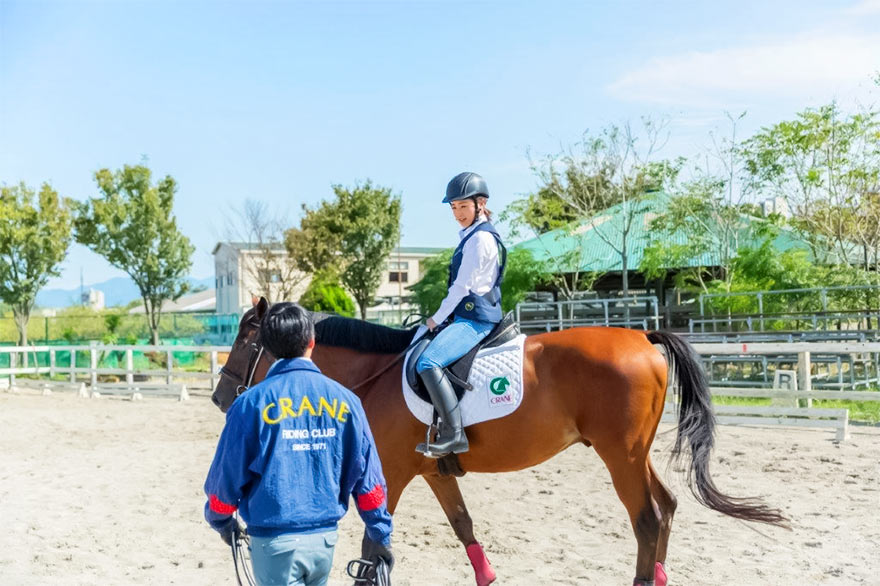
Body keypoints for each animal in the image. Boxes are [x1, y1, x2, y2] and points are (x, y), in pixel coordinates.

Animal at [211, 297, 787, 585]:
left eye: (245, 338)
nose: (220, 396)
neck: (378, 372)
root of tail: (642, 336)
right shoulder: (430, 472)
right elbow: (462, 523)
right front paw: (487, 575)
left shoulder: (389, 475)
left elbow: (373, 549)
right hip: (634, 454)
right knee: (665, 508)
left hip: (619, 455)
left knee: (646, 519)